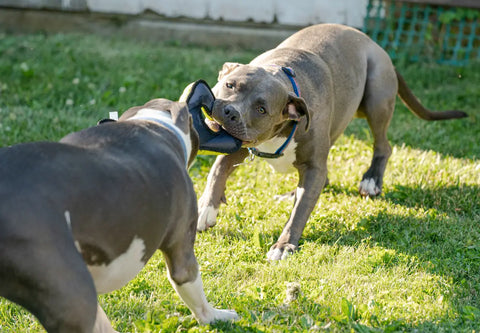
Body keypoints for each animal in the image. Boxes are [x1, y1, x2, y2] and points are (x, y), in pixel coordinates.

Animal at [197, 24, 466, 262]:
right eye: (230, 85)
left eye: (261, 109)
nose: (230, 112)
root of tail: (375, 44)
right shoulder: (241, 144)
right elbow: (217, 169)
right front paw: (206, 209)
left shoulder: (312, 165)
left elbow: (300, 212)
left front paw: (284, 246)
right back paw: (293, 193)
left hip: (376, 98)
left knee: (383, 146)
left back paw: (371, 180)